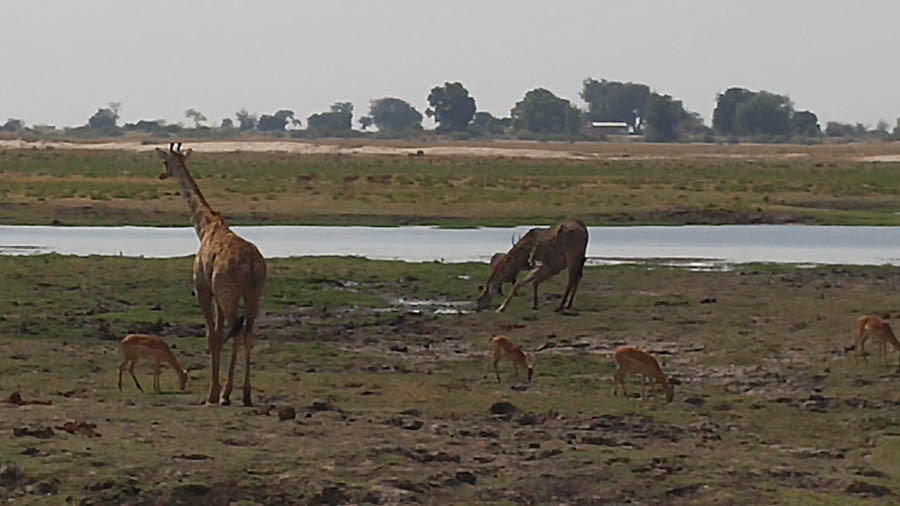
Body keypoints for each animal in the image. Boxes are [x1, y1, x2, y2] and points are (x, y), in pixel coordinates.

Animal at [155, 142, 266, 408]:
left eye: (166, 161)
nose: (162, 174)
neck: (204, 227)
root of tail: (252, 265)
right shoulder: (216, 294)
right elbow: (217, 332)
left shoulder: (203, 289)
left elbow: (211, 335)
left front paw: (213, 393)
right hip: (254, 294)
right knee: (248, 332)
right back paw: (246, 394)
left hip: (230, 294)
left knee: (237, 332)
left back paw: (226, 394)